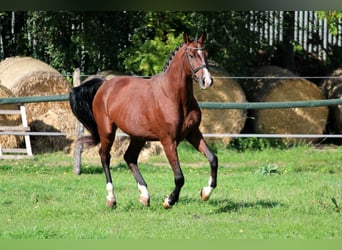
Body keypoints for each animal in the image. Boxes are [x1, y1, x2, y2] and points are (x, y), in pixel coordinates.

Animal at [69, 32, 218, 209]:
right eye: (191, 55)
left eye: (206, 54)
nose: (207, 81)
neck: (174, 96)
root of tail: (104, 85)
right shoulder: (168, 141)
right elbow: (179, 177)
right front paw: (169, 201)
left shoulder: (193, 134)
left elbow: (213, 159)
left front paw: (205, 193)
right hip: (107, 131)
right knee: (105, 156)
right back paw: (111, 199)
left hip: (138, 137)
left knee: (129, 157)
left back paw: (144, 196)